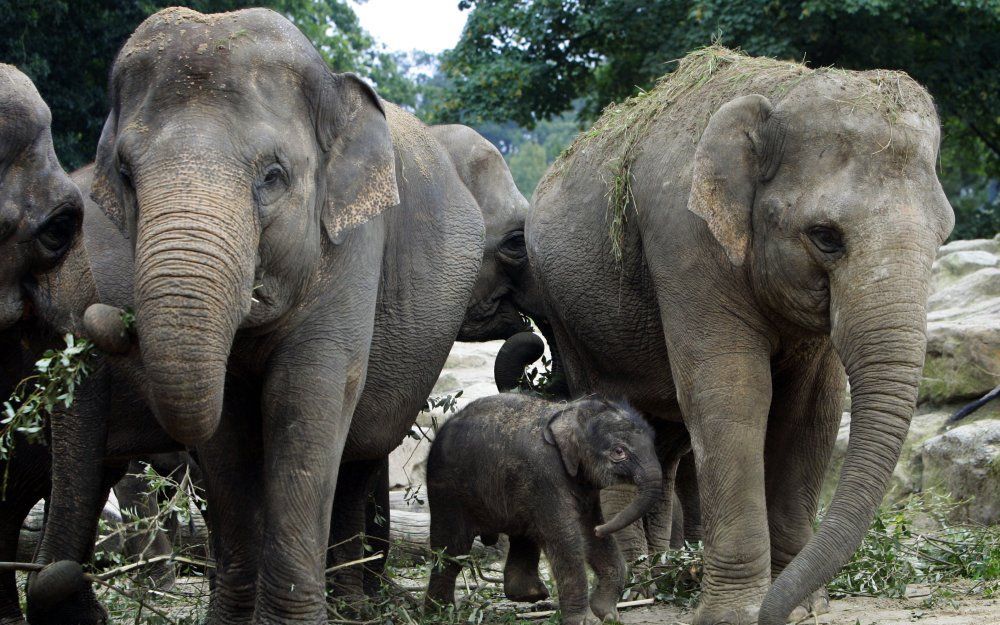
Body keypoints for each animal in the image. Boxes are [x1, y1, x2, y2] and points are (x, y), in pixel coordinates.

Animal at [74, 7, 484, 620]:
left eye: (272, 176)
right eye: (125, 174)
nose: (107, 320)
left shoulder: (352, 244)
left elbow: (306, 396)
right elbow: (228, 428)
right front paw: (231, 617)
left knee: (360, 455)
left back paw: (353, 605)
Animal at [424, 394, 664, 624]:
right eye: (618, 451)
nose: (601, 529)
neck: (570, 413)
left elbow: (588, 530)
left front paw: (608, 615)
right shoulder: (543, 474)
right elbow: (566, 536)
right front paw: (586, 621)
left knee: (522, 533)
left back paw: (529, 594)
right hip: (446, 491)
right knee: (452, 550)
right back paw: (440, 611)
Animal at [524, 48, 952, 624]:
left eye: (944, 235)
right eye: (825, 237)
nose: (777, 609)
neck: (779, 92)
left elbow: (812, 409)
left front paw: (801, 605)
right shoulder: (685, 239)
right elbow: (731, 395)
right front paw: (738, 612)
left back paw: (661, 569)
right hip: (566, 317)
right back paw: (635, 581)